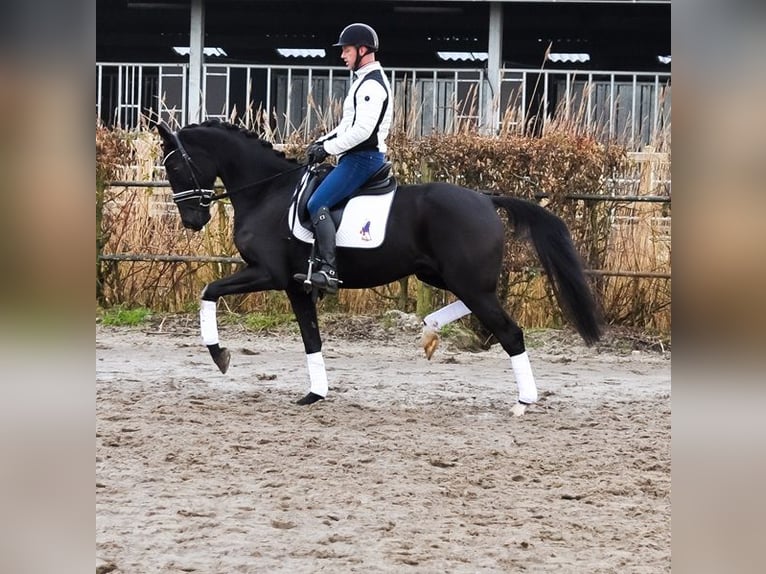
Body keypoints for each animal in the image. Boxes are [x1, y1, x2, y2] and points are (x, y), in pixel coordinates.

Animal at [153, 120, 604, 414]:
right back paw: (430, 331)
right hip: (444, 276)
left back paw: (523, 402)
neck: (269, 193)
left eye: (173, 166)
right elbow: (311, 338)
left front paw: (219, 356)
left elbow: (209, 291)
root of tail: (486, 199)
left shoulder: (271, 275)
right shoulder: (298, 286)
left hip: (468, 282)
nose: (192, 220)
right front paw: (316, 393)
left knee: (510, 333)